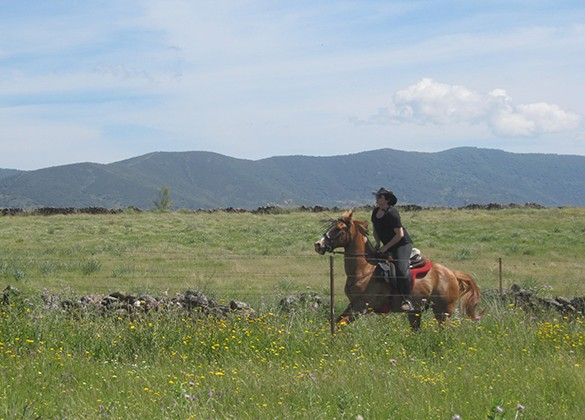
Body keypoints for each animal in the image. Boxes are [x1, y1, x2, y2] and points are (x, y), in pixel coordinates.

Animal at [314, 209, 480, 328]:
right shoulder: (352, 305)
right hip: (416, 312)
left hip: (443, 310)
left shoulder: (360, 307)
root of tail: (451, 273)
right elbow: (335, 323)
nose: (318, 244)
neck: (363, 270)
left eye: (338, 229)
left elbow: (340, 325)